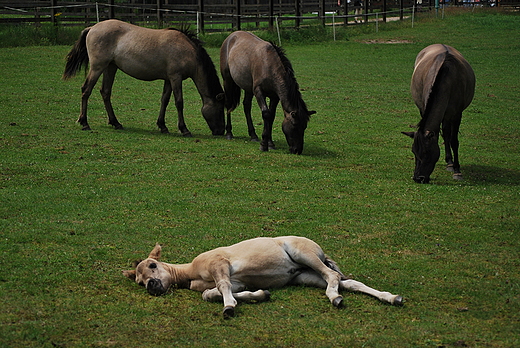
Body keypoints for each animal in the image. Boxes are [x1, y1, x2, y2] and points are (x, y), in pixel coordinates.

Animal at [62, 18, 224, 136]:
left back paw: (116, 123)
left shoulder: (168, 79)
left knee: (105, 92)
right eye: (221, 110)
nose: (220, 132)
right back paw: (84, 123)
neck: (187, 50)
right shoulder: (176, 78)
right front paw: (184, 129)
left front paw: (162, 126)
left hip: (110, 67)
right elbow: (179, 102)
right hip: (97, 67)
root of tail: (92, 28)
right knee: (86, 90)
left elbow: (164, 100)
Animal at [123, 235, 402, 320]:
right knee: (349, 282)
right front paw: (260, 294)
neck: (191, 270)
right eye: (139, 281)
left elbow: (221, 288)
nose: (152, 285)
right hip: (305, 277)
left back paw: (334, 297)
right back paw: (392, 298)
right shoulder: (236, 281)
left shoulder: (219, 265)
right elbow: (210, 293)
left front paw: (229, 307)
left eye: (153, 264)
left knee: (334, 276)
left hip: (305, 256)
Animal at [402, 43, 476, 184]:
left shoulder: (457, 114)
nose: (418, 178)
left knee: (447, 134)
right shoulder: (424, 109)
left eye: (427, 152)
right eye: (413, 151)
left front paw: (457, 171)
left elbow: (454, 140)